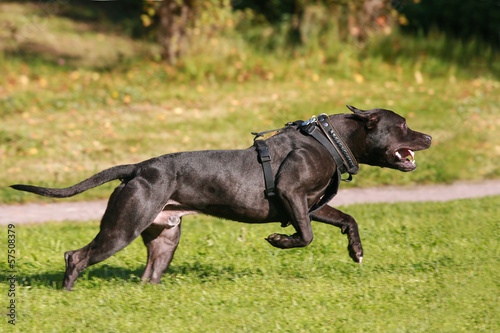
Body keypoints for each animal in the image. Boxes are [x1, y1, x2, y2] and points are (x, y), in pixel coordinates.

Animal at [10, 105, 430, 290]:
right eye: (404, 125)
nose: (428, 136)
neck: (330, 140)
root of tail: (138, 168)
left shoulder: (312, 204)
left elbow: (347, 219)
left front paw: (356, 251)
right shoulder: (293, 194)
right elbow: (306, 236)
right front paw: (279, 240)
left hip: (165, 235)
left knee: (149, 272)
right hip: (122, 228)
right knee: (77, 255)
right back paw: (68, 290)